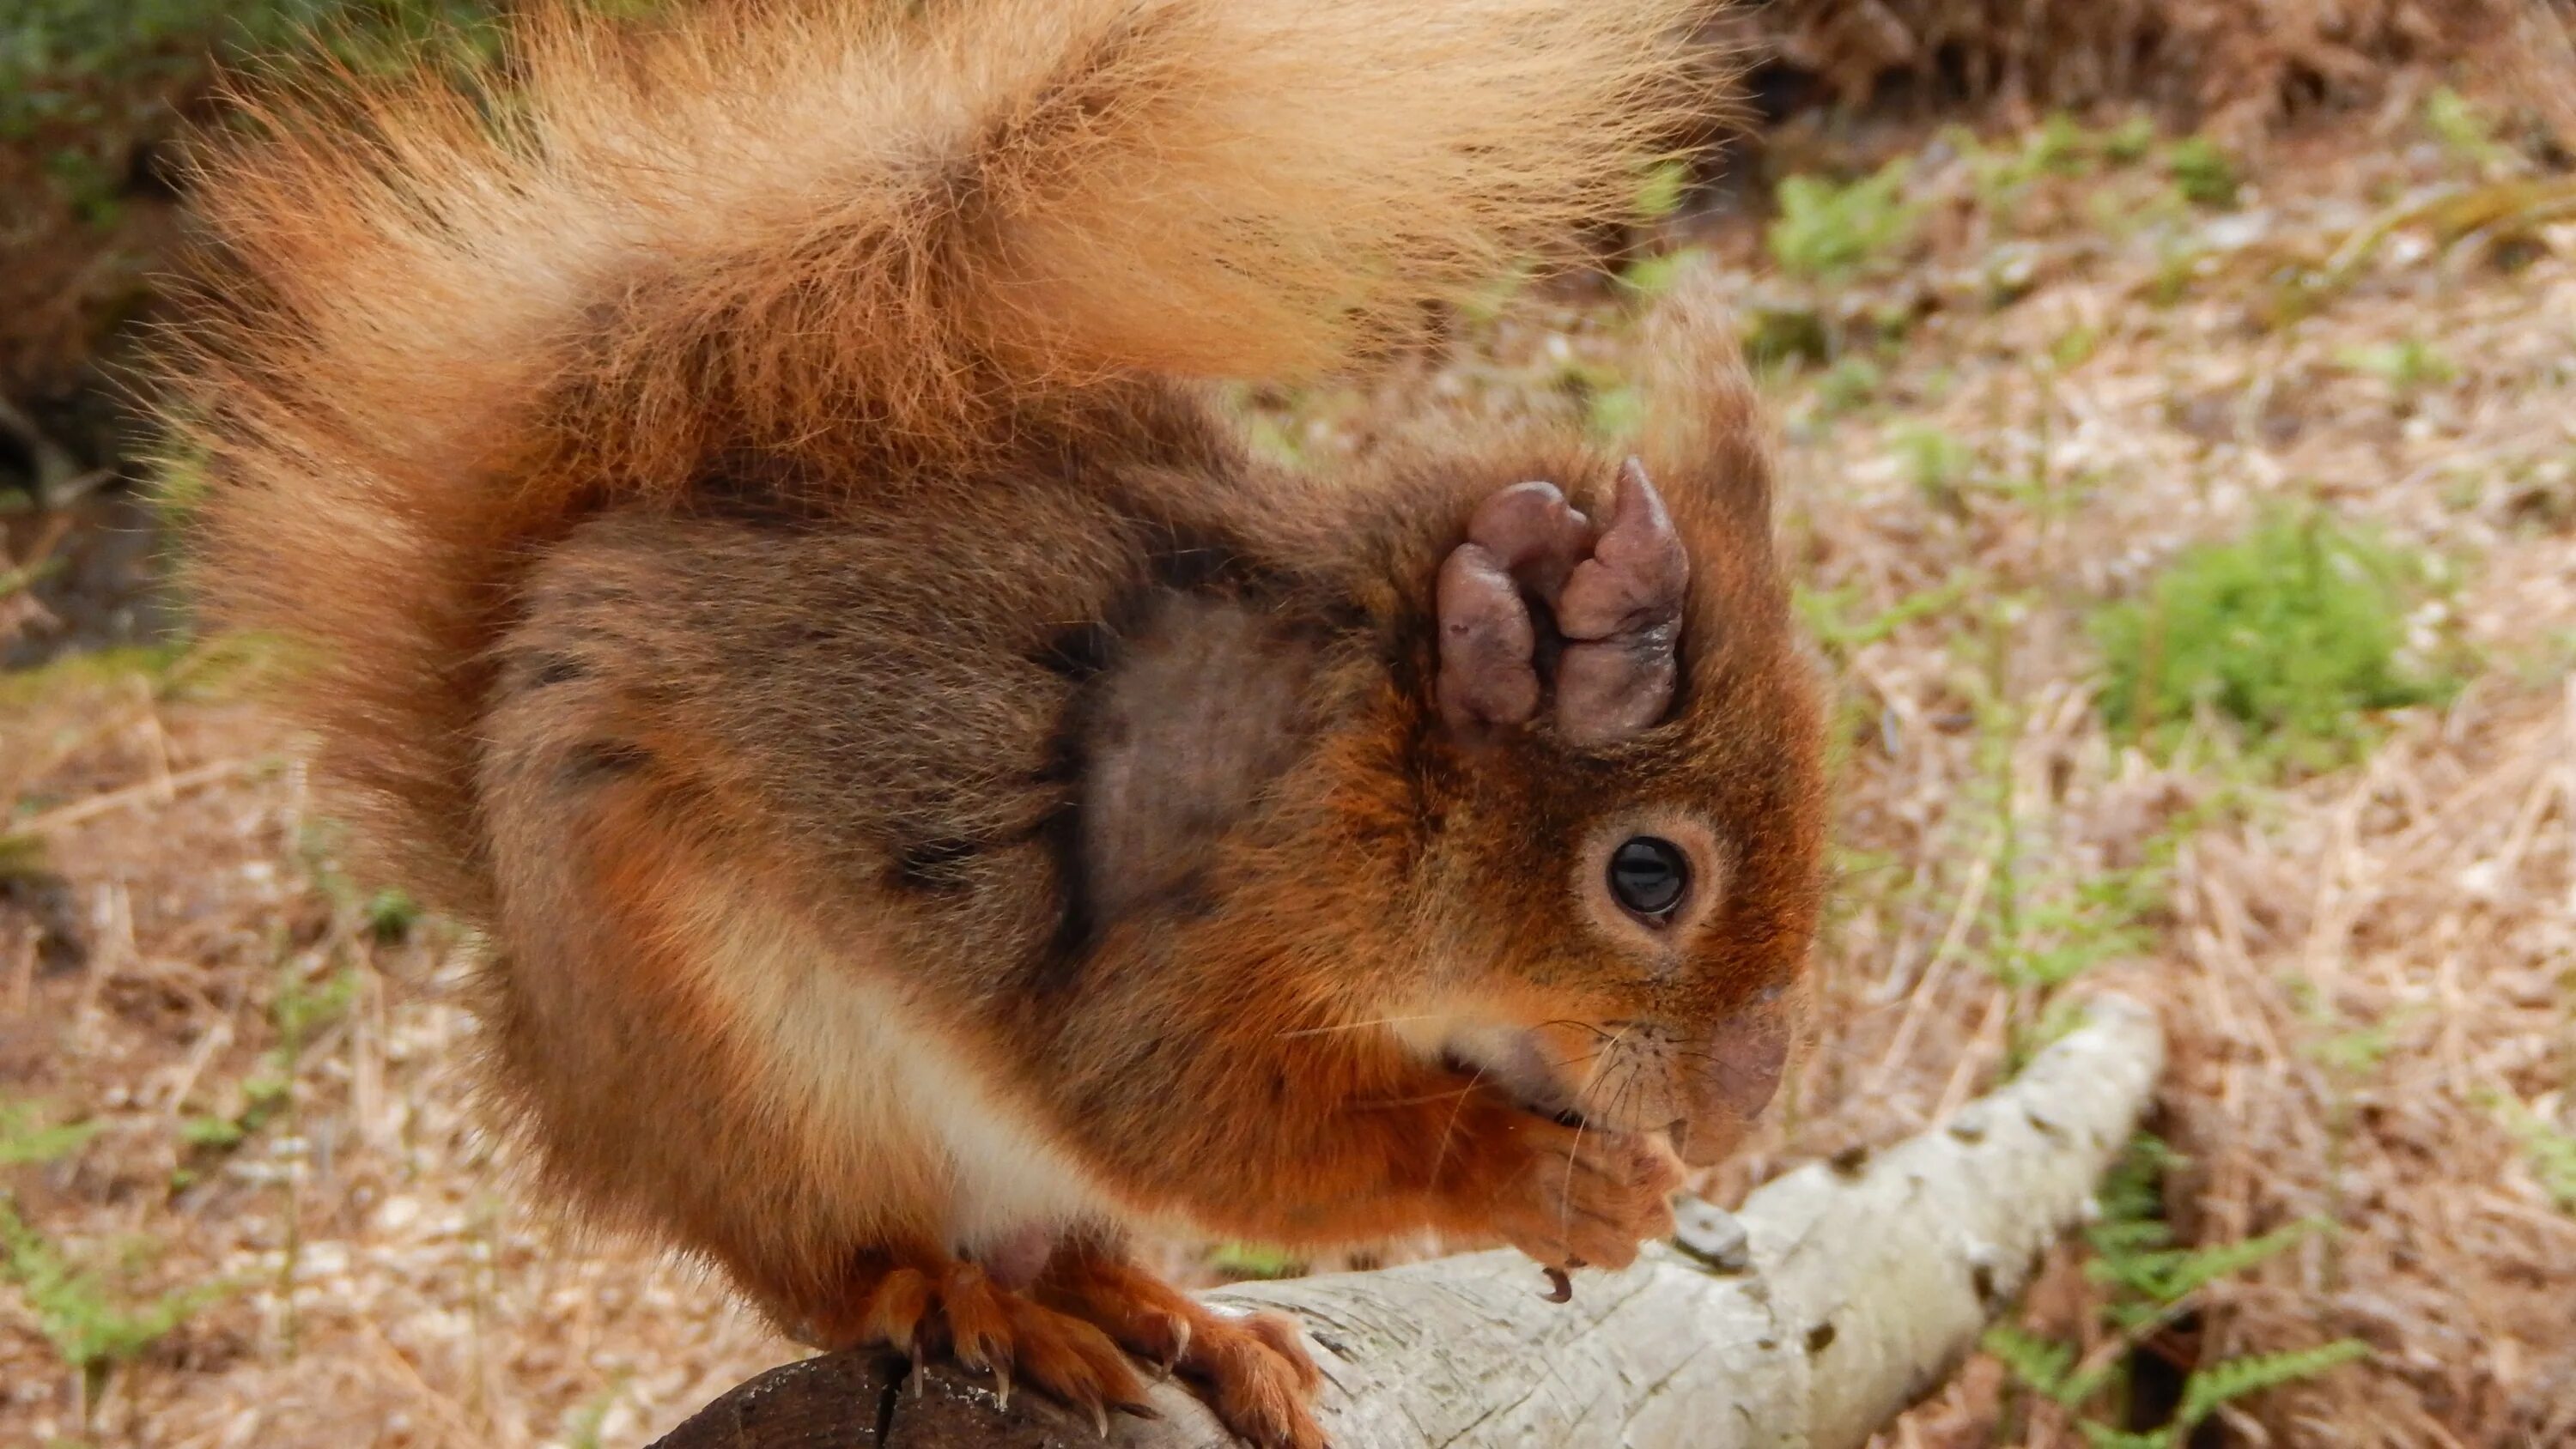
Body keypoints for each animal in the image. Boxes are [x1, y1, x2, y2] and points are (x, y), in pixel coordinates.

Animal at [161, 5, 1824, 1441]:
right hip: (747, 1061)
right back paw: (965, 1302)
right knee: (835, 1269)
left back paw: (1176, 1317)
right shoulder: (1164, 957)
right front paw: (1542, 1179)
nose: (1734, 1115)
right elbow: (1200, 1117)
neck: (1353, 763)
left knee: (1064, 1241)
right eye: (1649, 875)